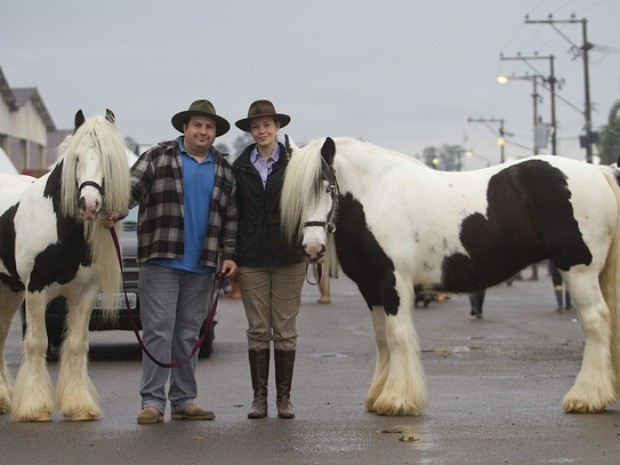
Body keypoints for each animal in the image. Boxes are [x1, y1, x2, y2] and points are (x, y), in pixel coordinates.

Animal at [0, 111, 129, 420]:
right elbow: (38, 343)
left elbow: (76, 344)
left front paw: (78, 405)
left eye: (108, 158)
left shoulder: (86, 293)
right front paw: (35, 408)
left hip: (9, 291)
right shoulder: (35, 290)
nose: (89, 204)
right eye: (77, 157)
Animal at [280, 136, 620, 416]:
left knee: (595, 322)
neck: (377, 195)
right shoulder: (371, 288)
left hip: (579, 270)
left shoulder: (394, 283)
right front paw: (378, 396)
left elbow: (398, 335)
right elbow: (381, 339)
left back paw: (586, 397)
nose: (312, 248)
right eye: (295, 194)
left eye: (328, 188)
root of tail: (600, 171)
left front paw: (397, 400)